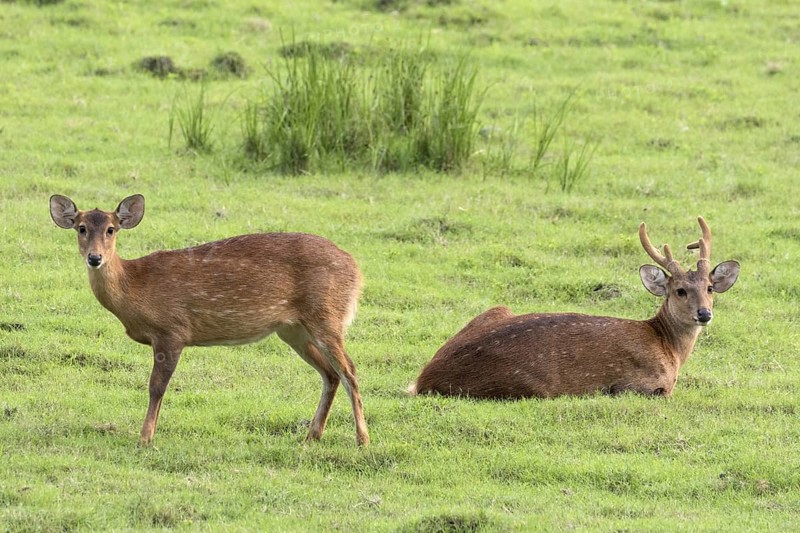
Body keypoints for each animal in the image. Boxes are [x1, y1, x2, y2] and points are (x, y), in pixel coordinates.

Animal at [49, 194, 369, 446]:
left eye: (111, 229)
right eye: (81, 228)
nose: (95, 258)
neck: (135, 286)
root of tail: (357, 269)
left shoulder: (172, 330)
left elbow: (156, 387)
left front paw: (145, 438)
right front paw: (148, 434)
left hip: (327, 314)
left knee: (349, 370)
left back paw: (362, 439)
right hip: (293, 329)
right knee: (330, 373)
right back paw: (312, 436)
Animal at [410, 217, 740, 399]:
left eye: (710, 288)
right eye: (680, 290)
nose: (704, 314)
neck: (667, 347)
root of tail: (423, 381)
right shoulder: (643, 384)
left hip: (497, 309)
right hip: (529, 385)